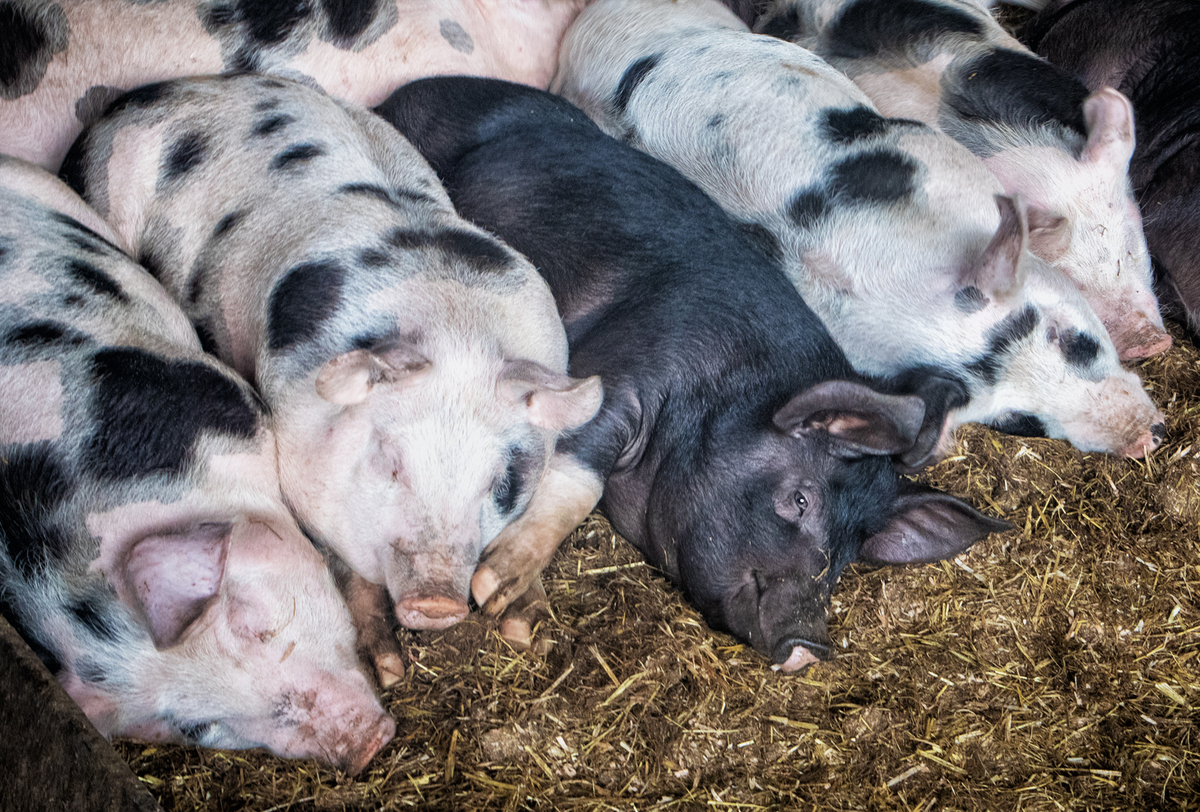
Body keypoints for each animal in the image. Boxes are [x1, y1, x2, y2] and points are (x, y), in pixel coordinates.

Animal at [60, 74, 601, 680]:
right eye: (390, 462)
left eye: (500, 481)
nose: (437, 601)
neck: (457, 326)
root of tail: (139, 97)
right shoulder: (298, 459)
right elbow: (347, 567)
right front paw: (386, 669)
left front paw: (522, 627)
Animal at [374, 75, 1010, 671]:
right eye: (800, 500)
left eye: (848, 555)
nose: (811, 644)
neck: (729, 387)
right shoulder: (621, 367)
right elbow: (580, 477)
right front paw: (497, 593)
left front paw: (517, 624)